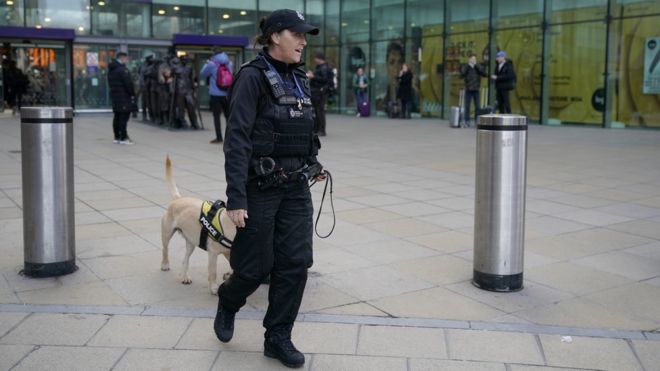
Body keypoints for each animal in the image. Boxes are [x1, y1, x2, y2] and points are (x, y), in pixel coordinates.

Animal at [161, 155, 236, 294]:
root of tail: (178, 198)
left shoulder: (229, 253)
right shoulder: (213, 254)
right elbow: (213, 272)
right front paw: (214, 288)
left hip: (191, 242)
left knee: (185, 259)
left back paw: (184, 276)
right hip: (167, 233)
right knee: (165, 249)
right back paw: (165, 264)